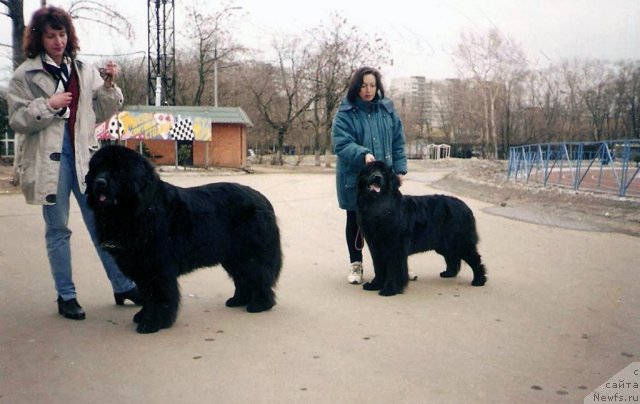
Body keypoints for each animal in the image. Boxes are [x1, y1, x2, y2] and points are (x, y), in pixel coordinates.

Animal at [86, 145, 282, 334]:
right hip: (233, 257)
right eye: (98, 168)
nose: (100, 182)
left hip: (249, 254)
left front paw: (153, 323)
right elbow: (147, 295)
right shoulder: (142, 268)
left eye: (118, 170)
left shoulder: (158, 268)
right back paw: (238, 300)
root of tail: (263, 200)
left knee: (258, 276)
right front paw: (143, 316)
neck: (139, 209)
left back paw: (260, 304)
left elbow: (159, 296)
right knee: (243, 278)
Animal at [356, 161, 484, 296]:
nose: (377, 177)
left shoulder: (395, 246)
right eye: (371, 170)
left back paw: (479, 280)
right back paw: (449, 273)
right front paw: (375, 285)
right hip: (445, 244)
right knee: (452, 257)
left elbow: (394, 268)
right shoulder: (375, 246)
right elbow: (379, 266)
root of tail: (465, 207)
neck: (377, 205)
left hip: (460, 242)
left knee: (475, 259)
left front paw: (390, 289)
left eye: (384, 172)